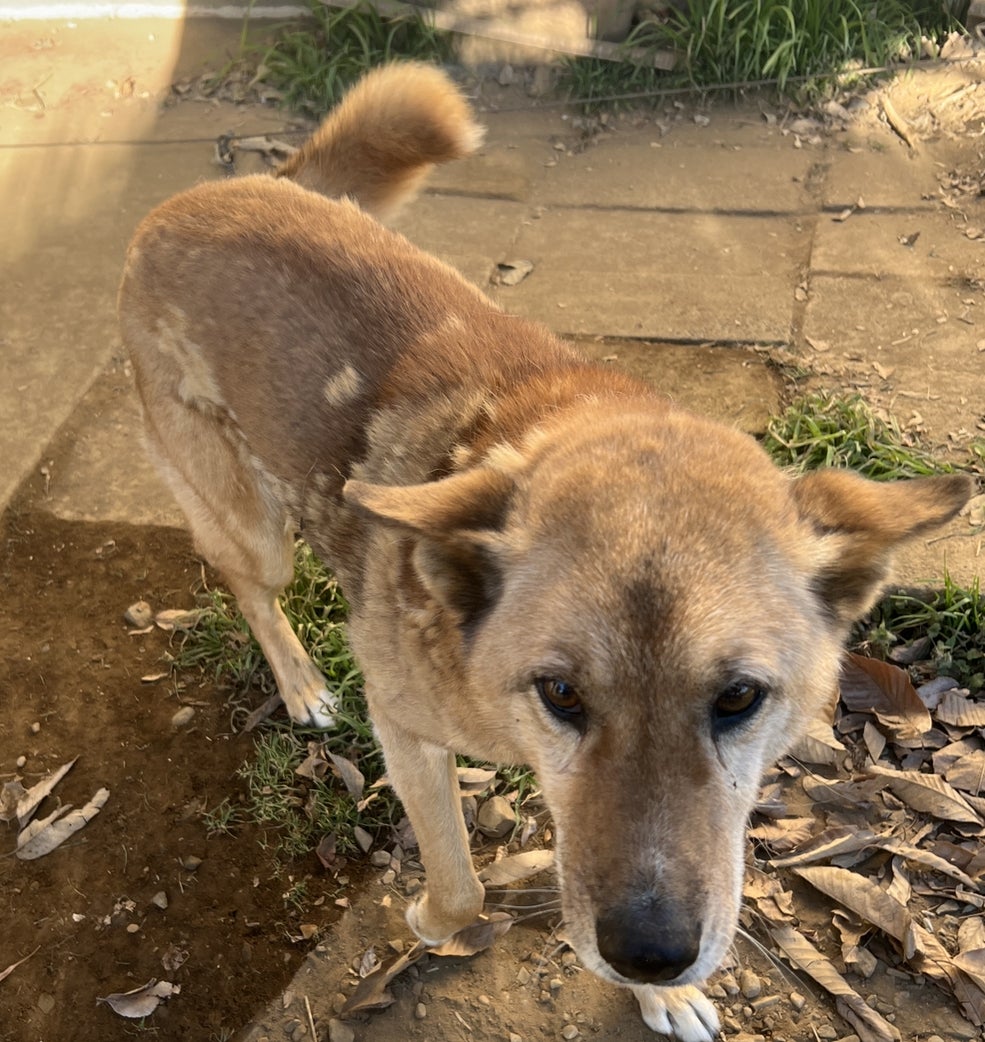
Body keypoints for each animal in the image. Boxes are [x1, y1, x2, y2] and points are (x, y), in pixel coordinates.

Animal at [119, 63, 972, 1041]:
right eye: (561, 693)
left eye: (738, 698)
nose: (651, 954)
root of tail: (217, 189)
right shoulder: (405, 729)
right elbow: (458, 887)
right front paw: (431, 920)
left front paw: (661, 995)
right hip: (252, 528)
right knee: (251, 590)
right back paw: (298, 683)